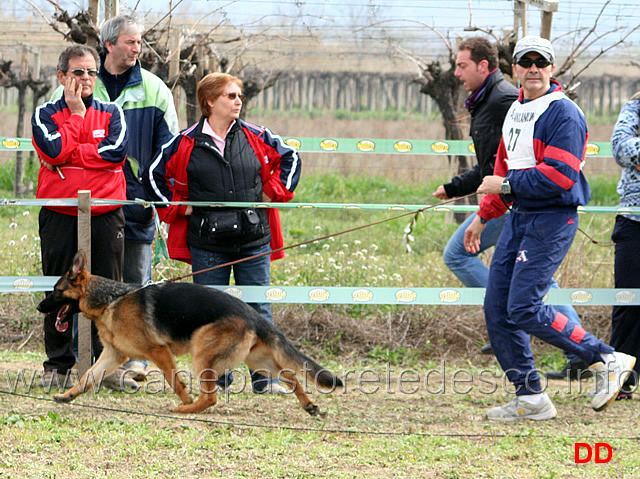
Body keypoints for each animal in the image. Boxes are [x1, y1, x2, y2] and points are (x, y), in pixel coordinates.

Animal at [37, 251, 342, 416]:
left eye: (56, 291)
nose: (39, 307)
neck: (110, 300)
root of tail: (252, 314)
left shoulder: (158, 351)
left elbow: (176, 382)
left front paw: (184, 402)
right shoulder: (113, 355)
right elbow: (88, 377)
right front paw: (68, 396)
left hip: (203, 356)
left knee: (211, 397)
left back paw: (184, 410)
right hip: (258, 361)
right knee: (292, 377)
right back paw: (309, 405)